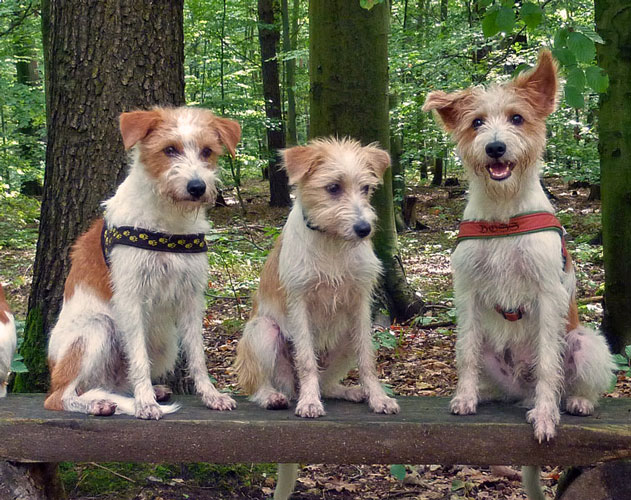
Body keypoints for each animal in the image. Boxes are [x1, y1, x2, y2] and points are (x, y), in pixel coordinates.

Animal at [45, 107, 241, 419]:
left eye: (207, 151)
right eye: (170, 149)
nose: (197, 187)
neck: (168, 221)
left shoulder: (191, 297)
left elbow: (197, 355)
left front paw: (211, 395)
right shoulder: (131, 297)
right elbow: (138, 357)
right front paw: (145, 403)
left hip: (166, 342)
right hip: (97, 328)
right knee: (60, 396)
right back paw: (100, 403)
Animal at [235, 138, 400, 500]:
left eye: (366, 188)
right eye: (333, 188)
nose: (364, 229)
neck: (332, 242)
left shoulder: (361, 305)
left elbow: (368, 360)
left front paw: (377, 397)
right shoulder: (299, 303)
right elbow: (307, 360)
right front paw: (310, 403)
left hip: (347, 337)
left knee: (328, 380)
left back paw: (347, 391)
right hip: (264, 331)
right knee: (260, 382)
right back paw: (273, 396)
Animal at [423, 50, 614, 444]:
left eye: (517, 118)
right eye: (477, 122)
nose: (495, 147)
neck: (504, 213)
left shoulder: (547, 293)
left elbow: (548, 364)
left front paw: (544, 415)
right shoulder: (467, 291)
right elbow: (465, 353)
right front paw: (465, 397)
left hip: (585, 341)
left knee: (572, 381)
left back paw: (578, 401)